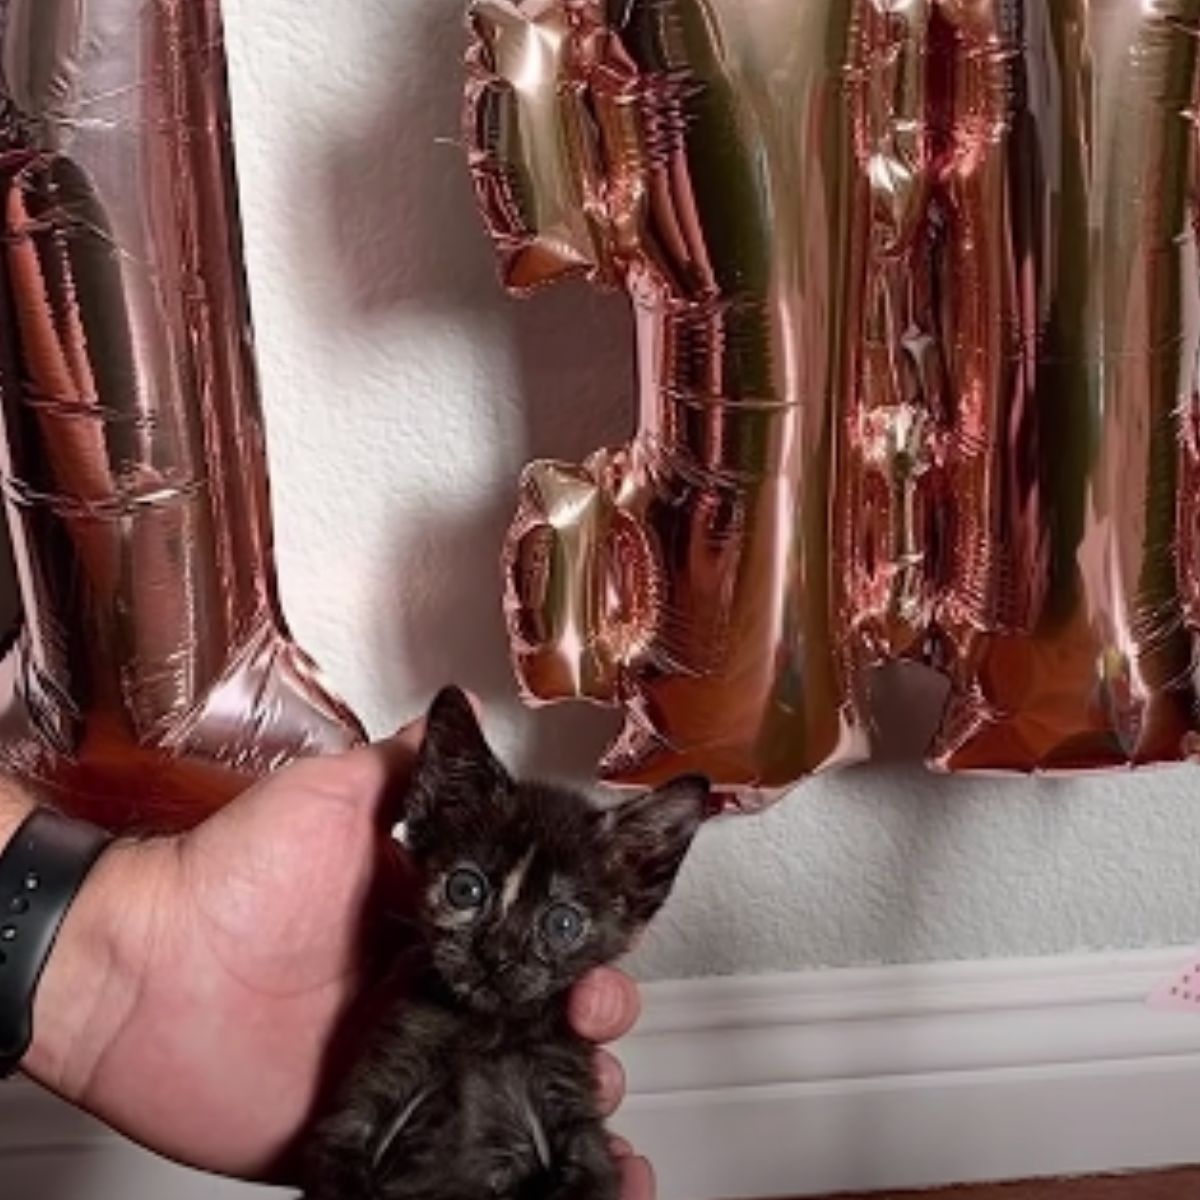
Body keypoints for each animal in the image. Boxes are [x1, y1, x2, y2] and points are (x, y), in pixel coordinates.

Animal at [304, 686, 705, 1200]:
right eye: (465, 889)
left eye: (562, 924)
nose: (495, 955)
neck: (487, 1029)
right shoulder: (354, 1114)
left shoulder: (577, 1122)